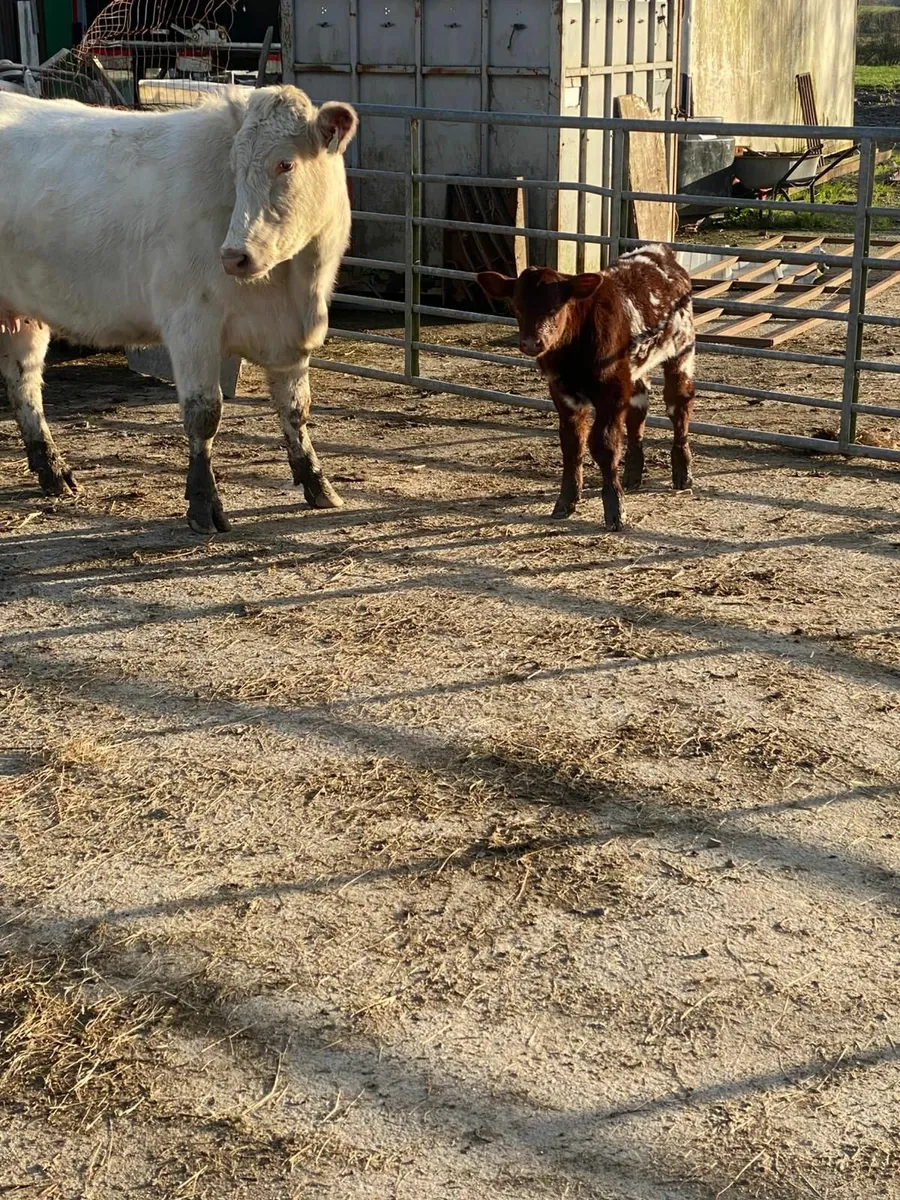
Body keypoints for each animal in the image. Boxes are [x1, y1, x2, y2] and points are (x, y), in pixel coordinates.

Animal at [0, 85, 357, 533]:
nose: (234, 256)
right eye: (234, 166)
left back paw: (53, 471)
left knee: (24, 383)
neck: (294, 288)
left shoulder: (288, 339)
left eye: (285, 163)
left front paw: (317, 483)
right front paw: (204, 504)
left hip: (22, 315)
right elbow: (204, 413)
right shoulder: (191, 324)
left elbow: (295, 410)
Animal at [477, 244, 696, 531]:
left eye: (556, 307)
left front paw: (615, 509)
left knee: (678, 405)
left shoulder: (611, 392)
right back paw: (633, 474)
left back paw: (683, 472)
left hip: (682, 350)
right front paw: (566, 501)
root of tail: (660, 251)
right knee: (638, 412)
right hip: (635, 370)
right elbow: (572, 444)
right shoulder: (563, 393)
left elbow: (604, 444)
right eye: (517, 306)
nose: (531, 343)